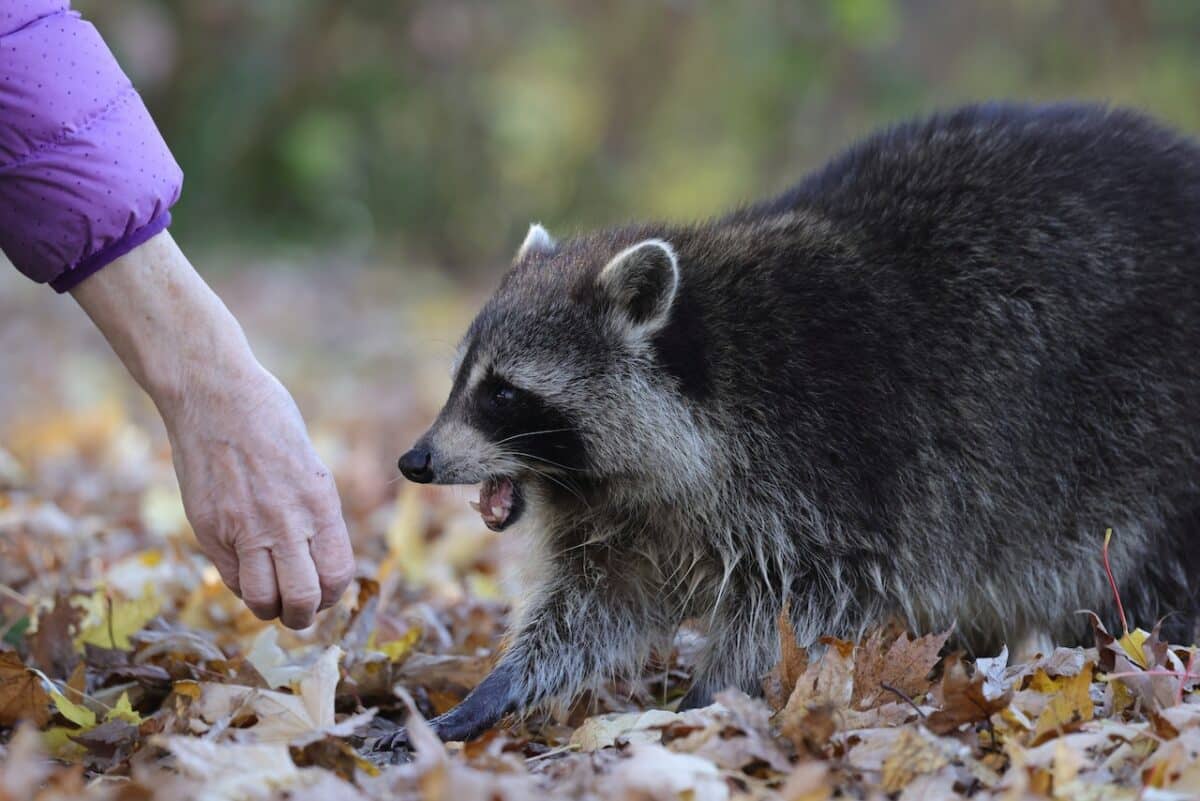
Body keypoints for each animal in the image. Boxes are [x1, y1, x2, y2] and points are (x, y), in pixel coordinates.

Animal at [384, 103, 1200, 748]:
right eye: (462, 380)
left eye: (503, 393)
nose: (415, 461)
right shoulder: (631, 517)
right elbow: (595, 604)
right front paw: (499, 685)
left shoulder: (829, 469)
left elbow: (797, 603)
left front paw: (705, 697)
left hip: (1152, 438)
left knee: (1154, 582)